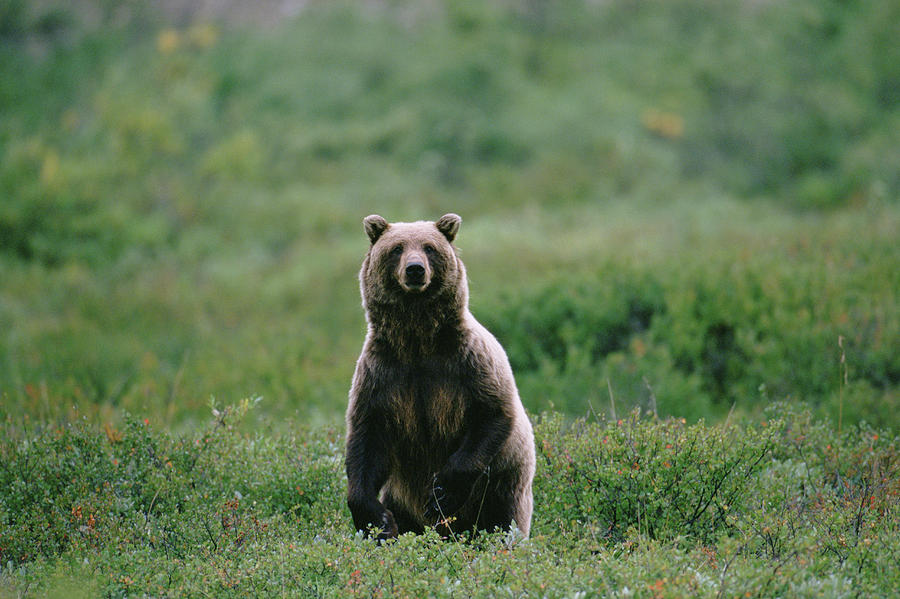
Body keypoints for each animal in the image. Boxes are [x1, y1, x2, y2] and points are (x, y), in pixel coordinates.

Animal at [344, 213, 536, 540]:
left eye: (429, 247)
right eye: (396, 248)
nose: (415, 269)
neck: (417, 342)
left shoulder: (468, 363)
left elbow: (493, 413)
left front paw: (442, 493)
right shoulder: (381, 376)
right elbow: (366, 439)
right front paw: (377, 520)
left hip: (505, 489)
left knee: (502, 520)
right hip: (401, 497)